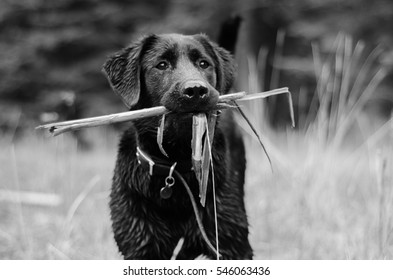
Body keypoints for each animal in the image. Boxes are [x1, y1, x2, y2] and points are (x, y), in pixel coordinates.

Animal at [103, 34, 251, 260]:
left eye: (203, 64)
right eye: (162, 65)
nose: (196, 90)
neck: (176, 163)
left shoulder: (231, 244)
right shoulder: (140, 247)